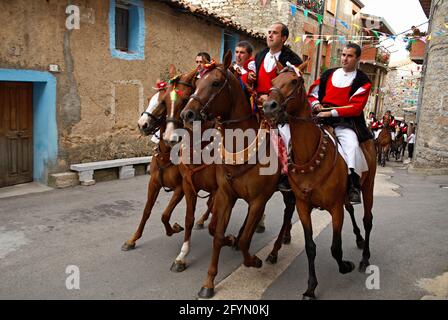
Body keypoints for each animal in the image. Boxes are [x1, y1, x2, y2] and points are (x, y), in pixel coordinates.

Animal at [180, 50, 296, 298]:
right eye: (197, 82)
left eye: (215, 83)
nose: (187, 114)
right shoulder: (225, 194)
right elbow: (217, 235)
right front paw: (209, 282)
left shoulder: (258, 200)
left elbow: (244, 241)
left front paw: (254, 260)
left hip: (288, 192)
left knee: (288, 213)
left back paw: (275, 249)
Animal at [260, 65, 376, 300]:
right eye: (274, 80)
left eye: (294, 81)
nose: (268, 107)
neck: (309, 155)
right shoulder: (303, 206)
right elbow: (310, 246)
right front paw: (311, 288)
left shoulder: (335, 208)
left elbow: (336, 248)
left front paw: (345, 266)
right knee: (352, 210)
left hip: (368, 187)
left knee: (368, 220)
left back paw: (364, 258)